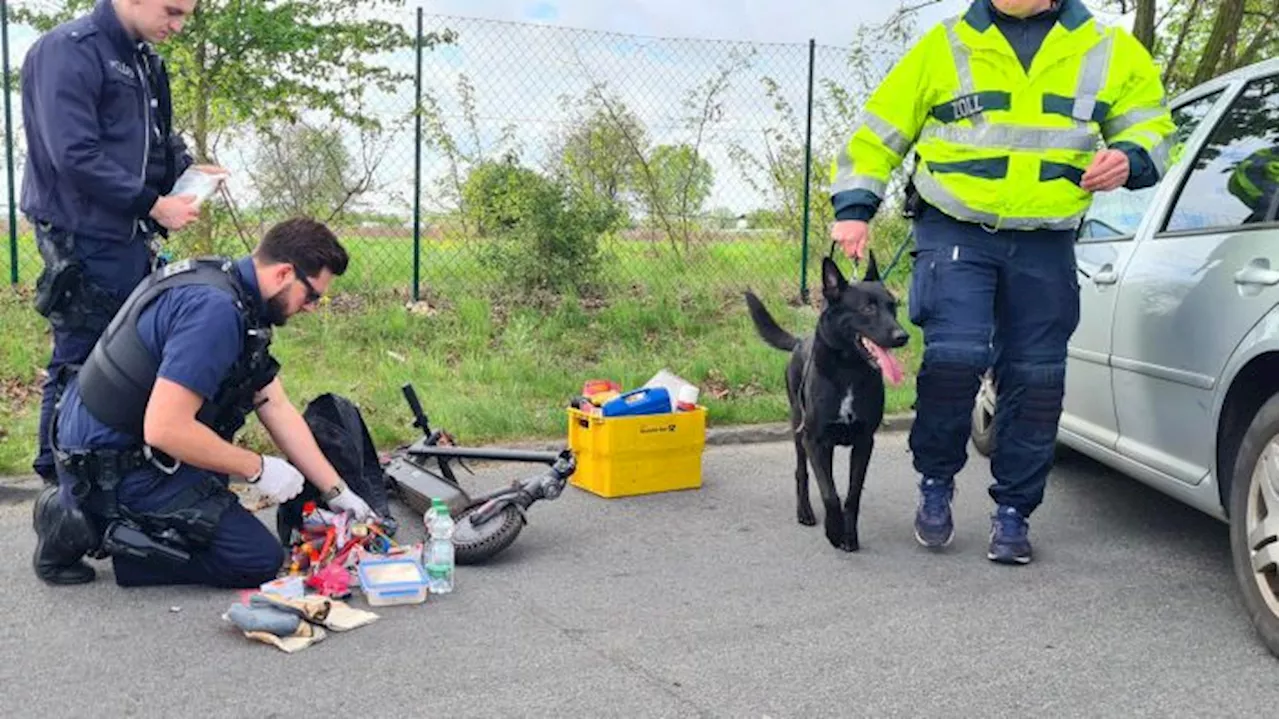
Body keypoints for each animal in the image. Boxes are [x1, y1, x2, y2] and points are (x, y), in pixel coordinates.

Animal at [742, 252, 911, 547]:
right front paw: (834, 531)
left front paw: (849, 535)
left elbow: (852, 494)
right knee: (803, 472)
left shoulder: (864, 443)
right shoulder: (815, 440)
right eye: (868, 309)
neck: (849, 370)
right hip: (799, 429)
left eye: (894, 307)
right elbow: (830, 494)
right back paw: (805, 511)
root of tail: (800, 341)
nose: (902, 337)